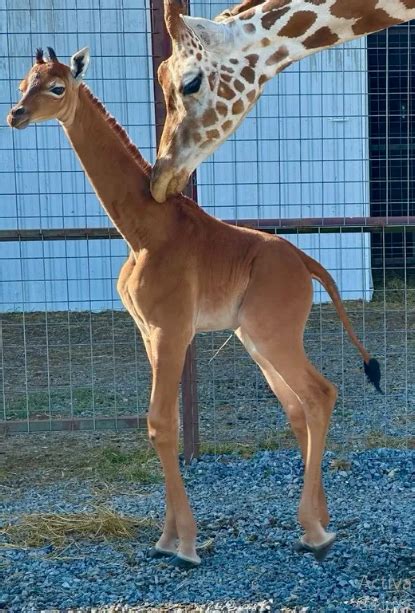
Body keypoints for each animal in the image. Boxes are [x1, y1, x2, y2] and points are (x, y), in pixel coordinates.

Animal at [8, 49, 382, 568]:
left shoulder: (171, 329)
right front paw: (167, 538)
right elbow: (162, 425)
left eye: (57, 87)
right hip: (254, 339)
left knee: (319, 394)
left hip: (274, 334)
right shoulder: (149, 332)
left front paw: (184, 544)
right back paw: (320, 521)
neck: (143, 231)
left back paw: (314, 532)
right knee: (297, 405)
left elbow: (161, 424)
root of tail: (306, 263)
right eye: (23, 82)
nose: (16, 115)